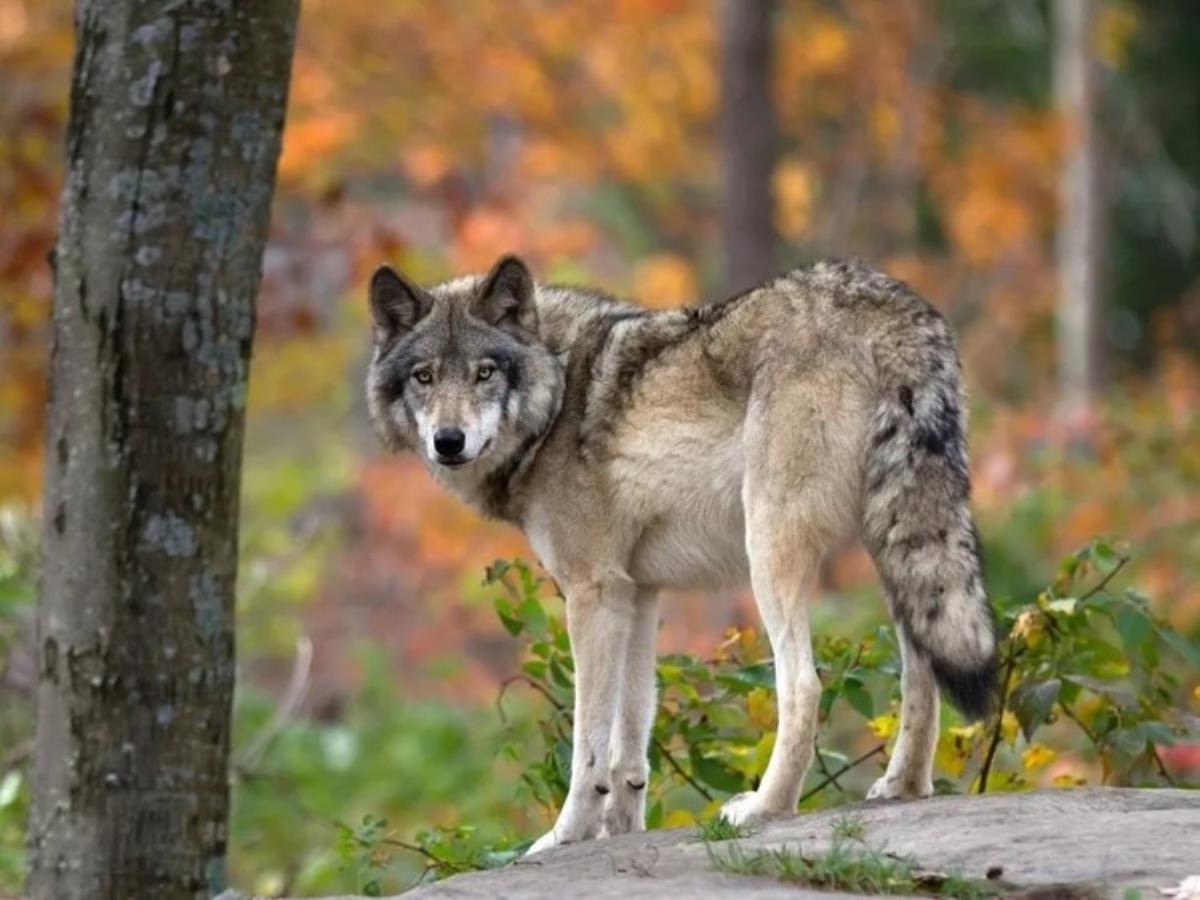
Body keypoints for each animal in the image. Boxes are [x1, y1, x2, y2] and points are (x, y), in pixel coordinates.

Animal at [362, 252, 993, 854]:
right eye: (424, 377)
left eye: (484, 372)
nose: (448, 442)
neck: (558, 396)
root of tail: (893, 307)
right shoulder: (637, 593)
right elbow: (630, 739)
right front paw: (622, 829)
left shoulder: (592, 593)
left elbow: (588, 745)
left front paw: (565, 837)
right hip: (897, 544)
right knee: (923, 673)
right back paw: (903, 787)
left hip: (771, 547)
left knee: (805, 684)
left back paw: (765, 807)